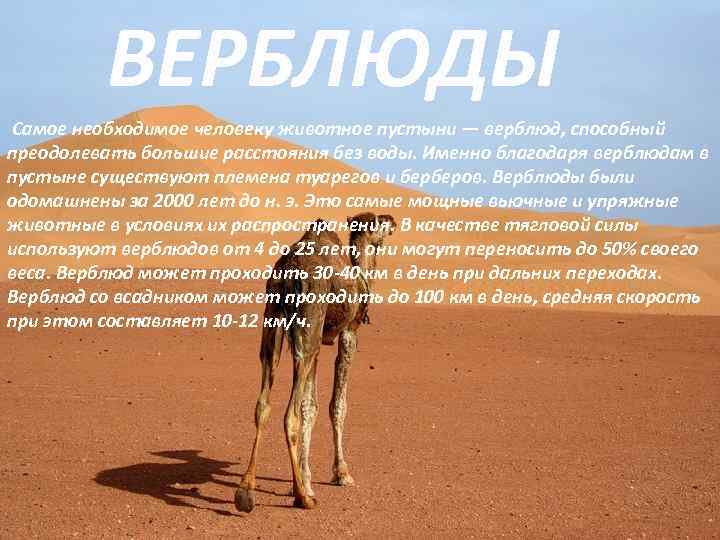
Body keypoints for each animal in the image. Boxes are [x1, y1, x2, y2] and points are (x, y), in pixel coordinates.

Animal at [234, 212, 396, 511]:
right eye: (380, 222)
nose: (393, 221)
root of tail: (288, 271)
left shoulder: (319, 340)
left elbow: (310, 406)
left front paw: (304, 476)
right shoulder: (349, 334)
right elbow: (336, 405)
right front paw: (341, 473)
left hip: (275, 321)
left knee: (263, 401)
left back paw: (246, 491)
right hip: (308, 323)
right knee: (290, 415)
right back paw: (304, 497)